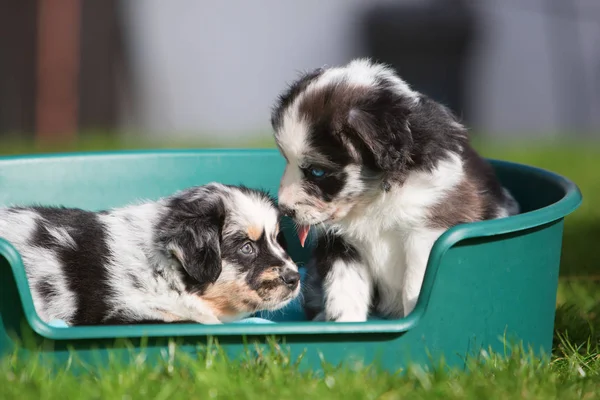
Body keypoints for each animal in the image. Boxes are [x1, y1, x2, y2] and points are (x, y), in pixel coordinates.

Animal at [272, 58, 520, 322]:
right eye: (286, 160)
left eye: (317, 171)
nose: (284, 209)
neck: (375, 196)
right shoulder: (342, 244)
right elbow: (344, 292)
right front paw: (345, 326)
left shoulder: (426, 231)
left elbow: (415, 287)